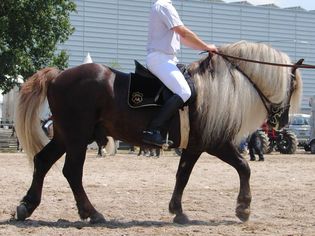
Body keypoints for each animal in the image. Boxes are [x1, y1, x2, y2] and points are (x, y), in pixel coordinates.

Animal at [13, 41, 302, 225]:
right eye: (292, 84)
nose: (282, 121)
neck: (217, 89)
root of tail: (59, 76)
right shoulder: (214, 143)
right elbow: (244, 167)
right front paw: (243, 208)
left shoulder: (194, 146)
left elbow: (182, 176)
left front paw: (178, 211)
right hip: (77, 137)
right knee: (72, 172)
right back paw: (92, 213)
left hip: (66, 136)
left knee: (42, 162)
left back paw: (27, 206)